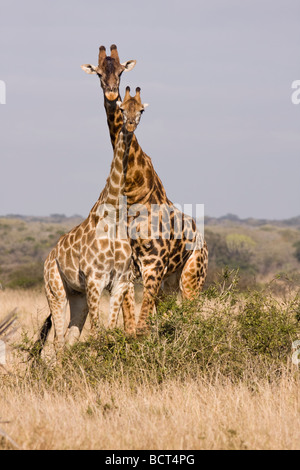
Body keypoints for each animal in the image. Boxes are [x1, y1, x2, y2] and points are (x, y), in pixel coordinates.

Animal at [34, 46, 138, 354]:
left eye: (139, 110)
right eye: (99, 73)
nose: (113, 96)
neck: (113, 215)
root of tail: (48, 257)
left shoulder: (118, 282)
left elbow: (112, 331)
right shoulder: (95, 281)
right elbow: (100, 332)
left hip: (76, 295)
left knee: (69, 337)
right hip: (56, 290)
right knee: (56, 341)